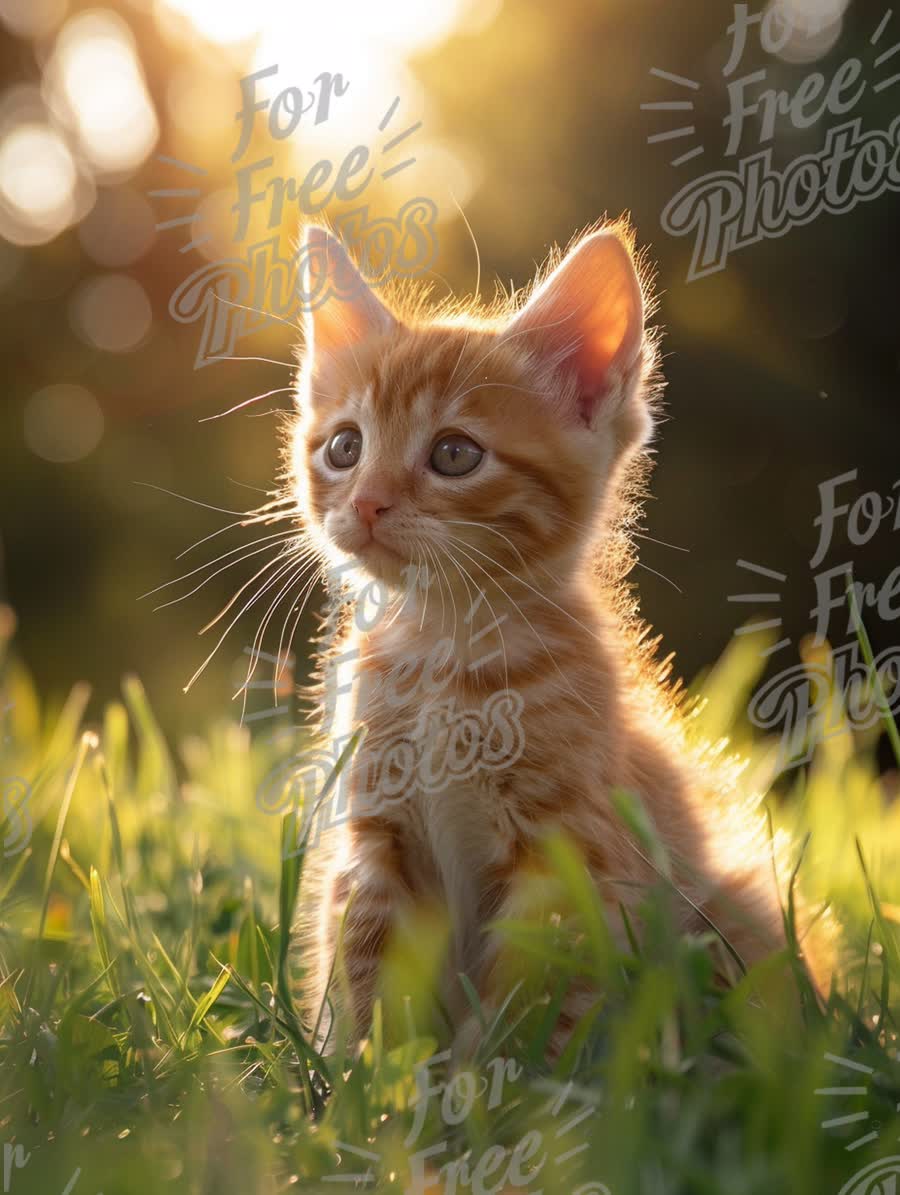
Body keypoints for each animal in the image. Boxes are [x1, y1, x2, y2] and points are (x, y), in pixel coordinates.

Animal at [288, 222, 827, 1056]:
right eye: (344, 447)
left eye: (453, 454)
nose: (368, 503)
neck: (445, 652)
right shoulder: (376, 842)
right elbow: (370, 980)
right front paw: (370, 1080)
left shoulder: (568, 858)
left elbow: (533, 1003)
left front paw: (498, 1084)